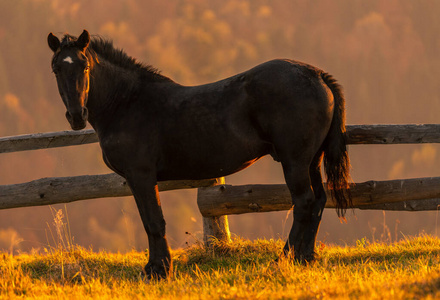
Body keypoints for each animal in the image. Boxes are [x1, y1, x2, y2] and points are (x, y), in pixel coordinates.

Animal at [47, 29, 350, 278]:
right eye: (56, 70)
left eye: (85, 66)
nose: (77, 116)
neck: (127, 103)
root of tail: (316, 75)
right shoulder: (137, 179)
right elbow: (149, 221)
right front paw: (155, 267)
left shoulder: (141, 176)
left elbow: (153, 221)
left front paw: (159, 270)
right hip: (312, 160)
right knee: (319, 200)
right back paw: (305, 258)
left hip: (295, 161)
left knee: (304, 202)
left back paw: (284, 258)